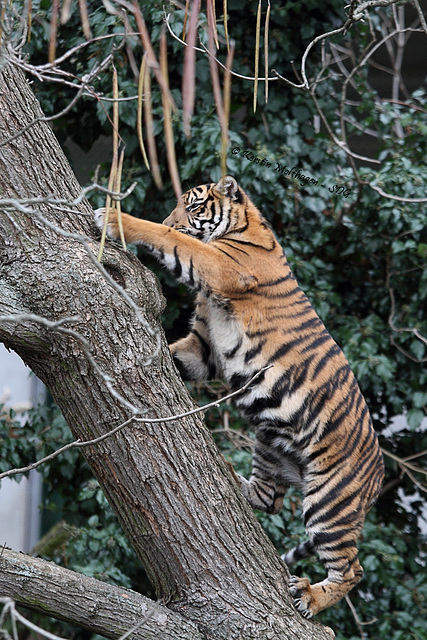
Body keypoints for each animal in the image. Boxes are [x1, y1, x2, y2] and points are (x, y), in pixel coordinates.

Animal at [93, 174, 384, 616]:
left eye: (193, 207)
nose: (173, 219)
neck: (243, 228)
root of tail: (380, 476)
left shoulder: (218, 267)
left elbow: (168, 239)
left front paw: (113, 218)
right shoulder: (204, 348)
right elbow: (180, 355)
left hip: (330, 500)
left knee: (353, 569)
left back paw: (311, 598)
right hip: (269, 445)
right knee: (268, 501)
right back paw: (234, 480)